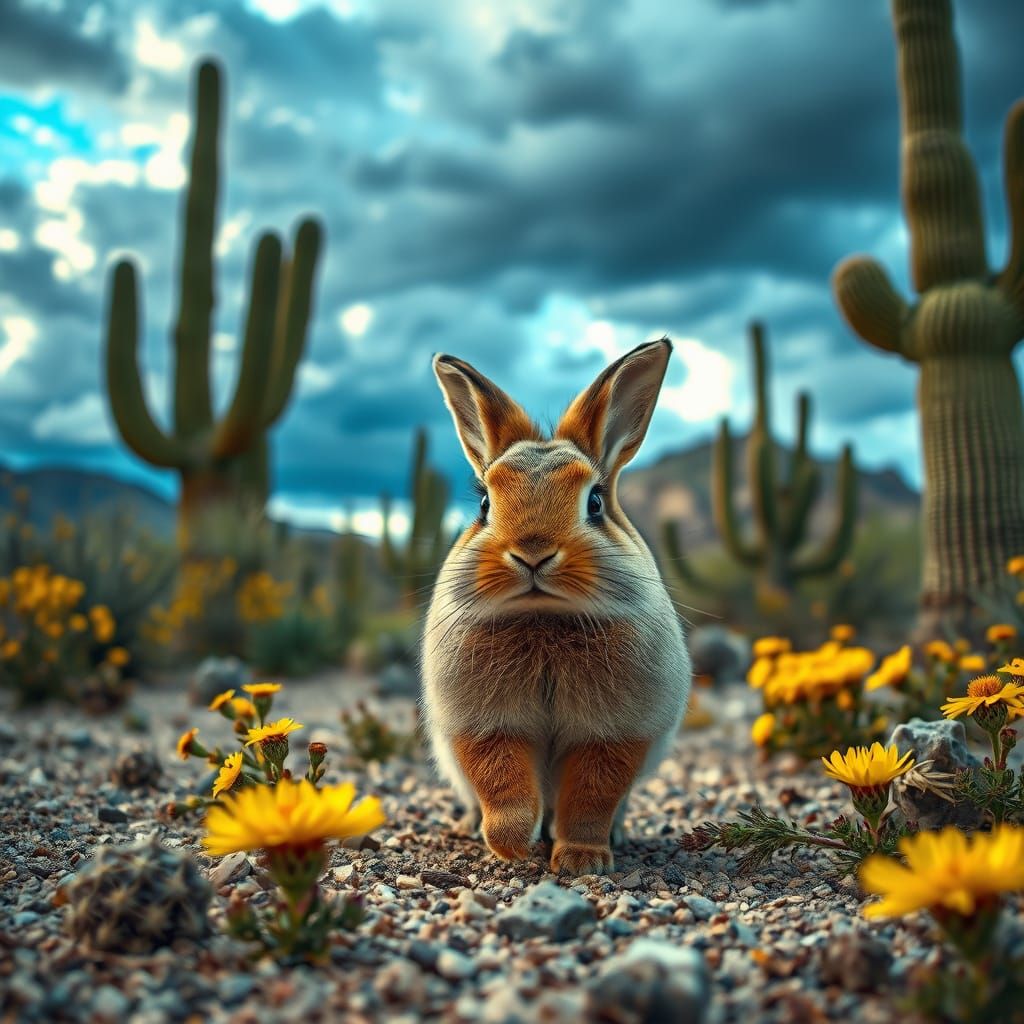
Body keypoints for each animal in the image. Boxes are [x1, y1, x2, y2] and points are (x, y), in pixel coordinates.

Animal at [421, 337, 691, 876]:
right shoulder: (486, 727)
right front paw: (512, 847)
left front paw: (582, 861)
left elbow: (591, 797)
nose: (532, 552)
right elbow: (502, 787)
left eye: (595, 502)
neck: (544, 616)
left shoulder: (613, 734)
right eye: (484, 503)